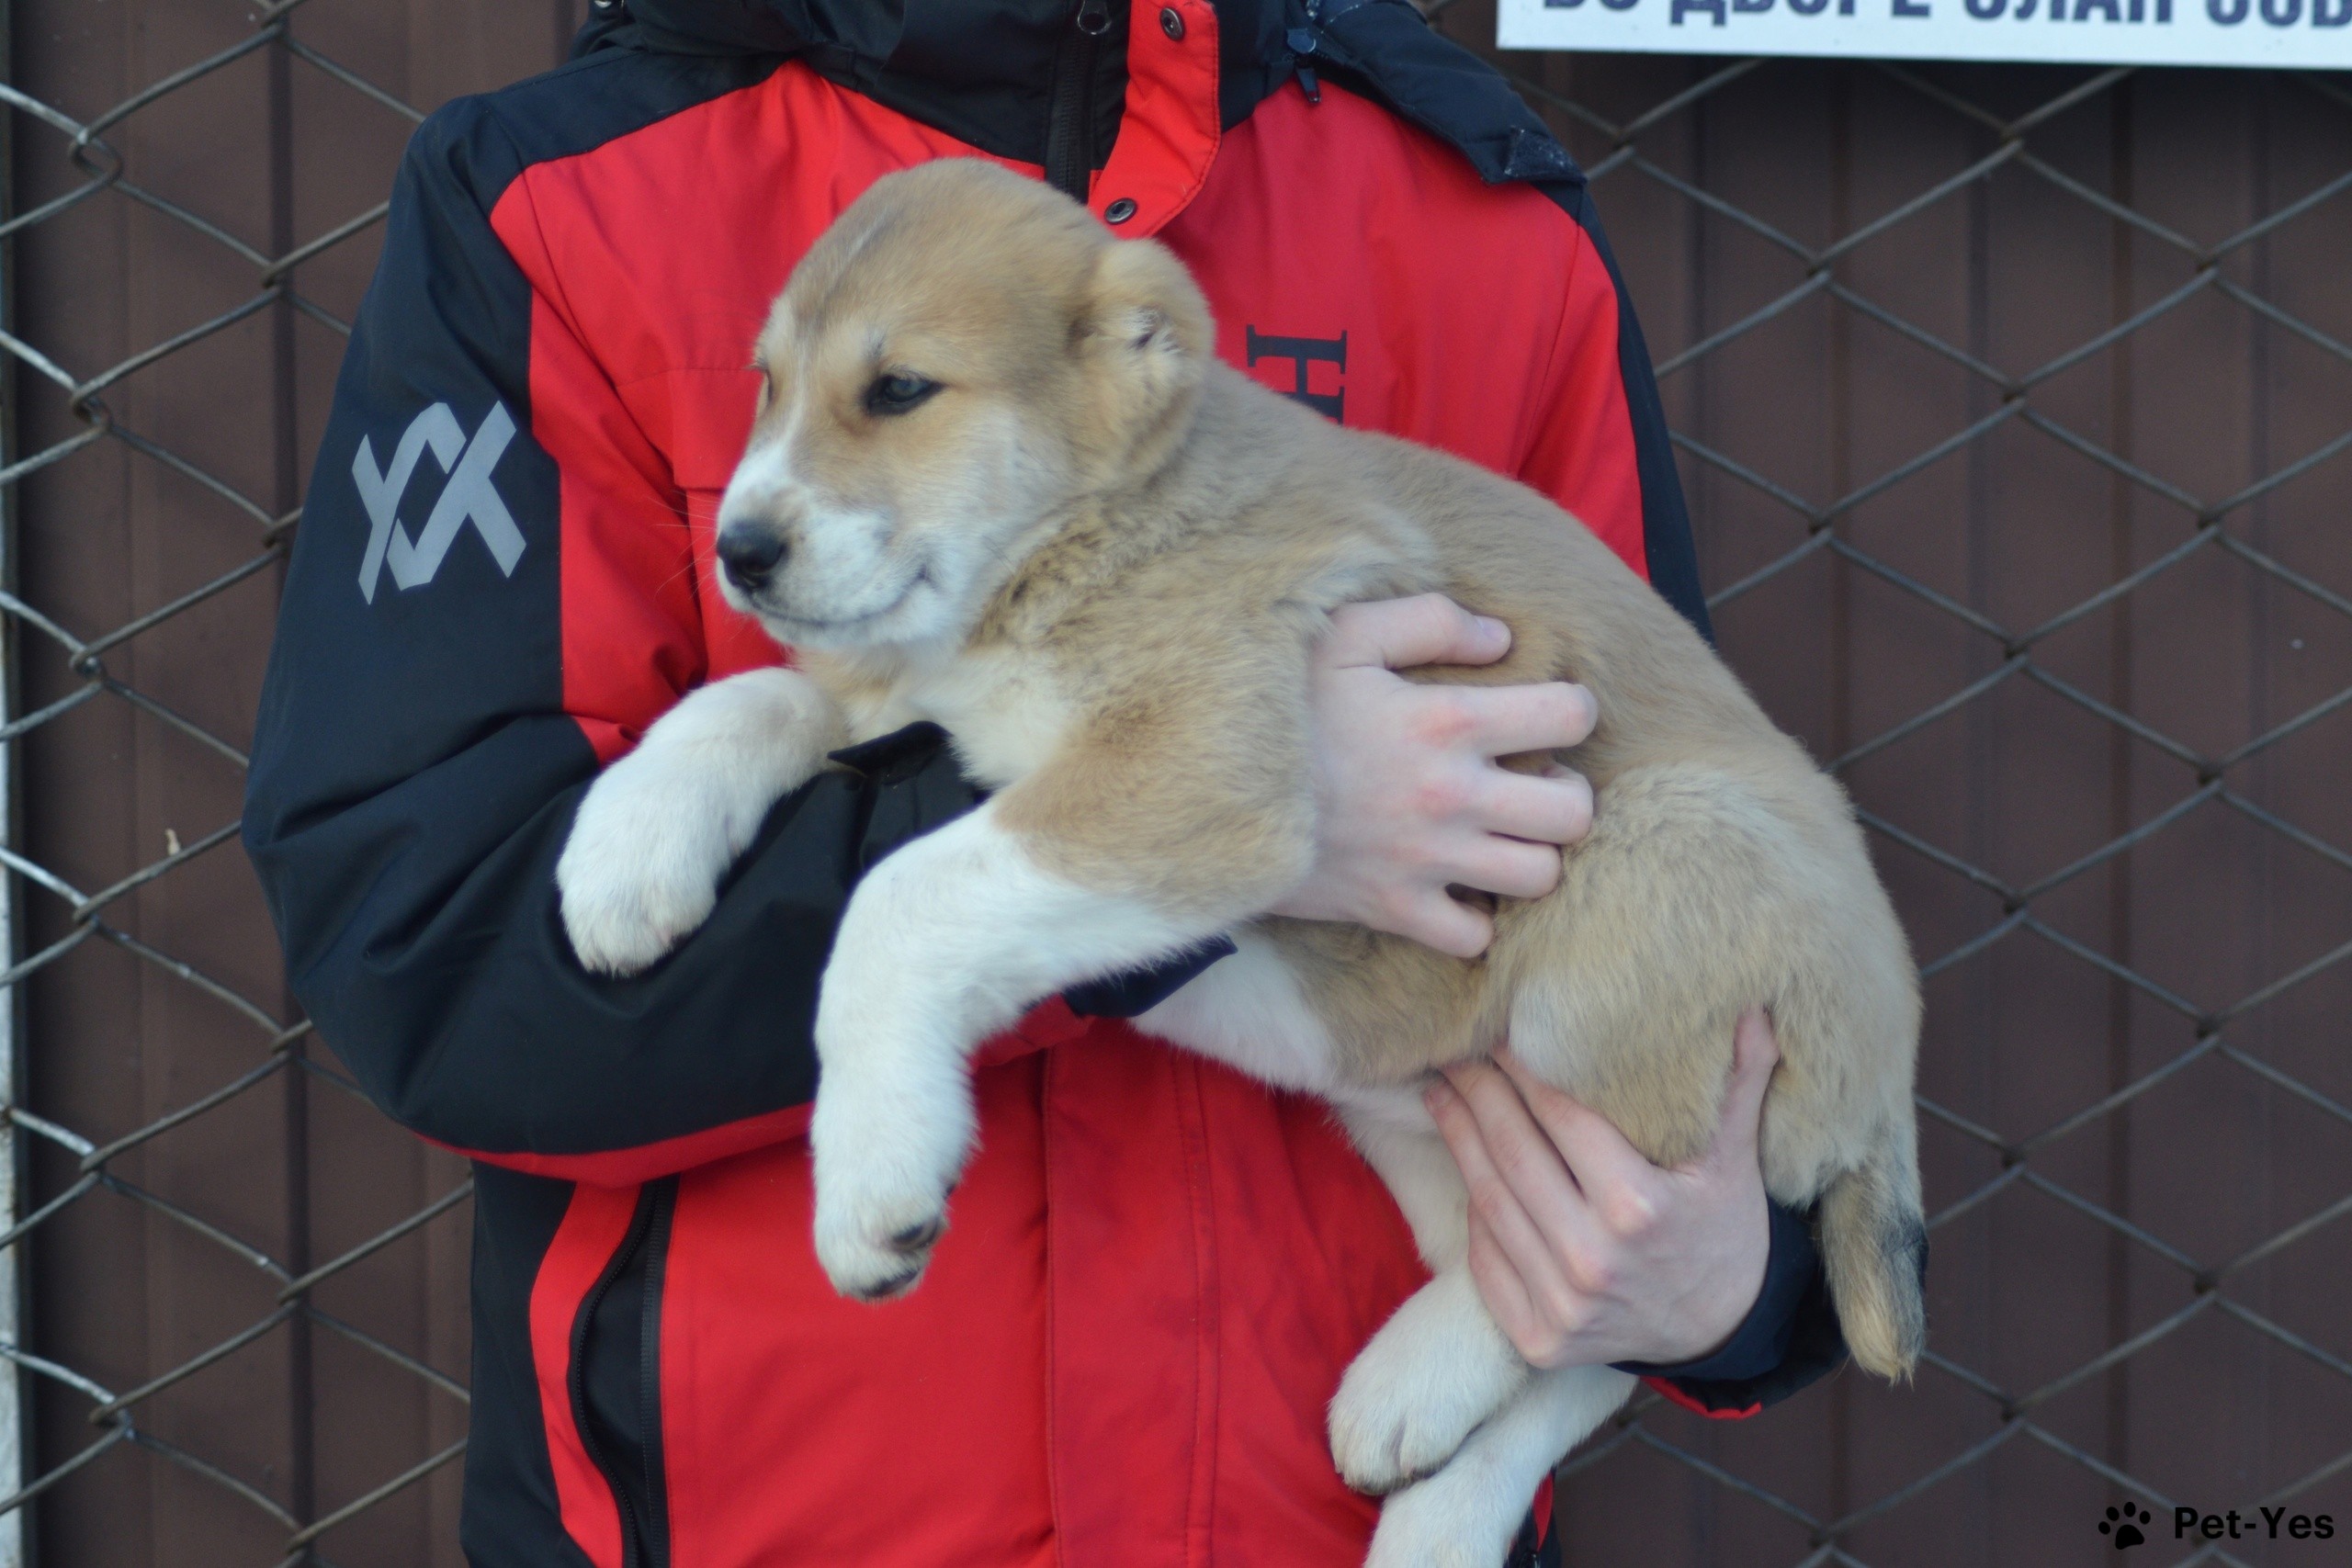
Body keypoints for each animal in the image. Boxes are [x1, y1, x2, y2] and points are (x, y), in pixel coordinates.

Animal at [560, 152, 1918, 1561]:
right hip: (1408, 1115)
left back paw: (1411, 1394)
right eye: (765, 382)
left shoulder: (1192, 773)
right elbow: (757, 698)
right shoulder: (928, 712)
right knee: (1563, 1316)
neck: (1076, 541)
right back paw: (1431, 1490)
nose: (740, 550)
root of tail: (1890, 1076)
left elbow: (898, 892)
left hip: (1648, 878)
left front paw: (874, 1170)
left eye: (898, 390)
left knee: (1616, 1261)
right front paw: (624, 847)